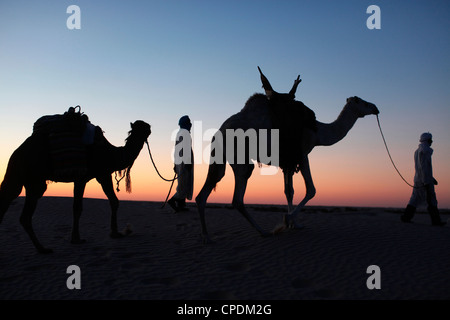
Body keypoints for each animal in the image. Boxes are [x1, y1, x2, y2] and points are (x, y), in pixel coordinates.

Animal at [0, 112, 151, 252]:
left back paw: (40, 248)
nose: (149, 127)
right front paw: (77, 239)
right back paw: (42, 249)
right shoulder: (87, 176)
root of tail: (17, 152)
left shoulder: (101, 175)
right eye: (143, 127)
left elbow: (113, 201)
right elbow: (79, 207)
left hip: (21, 176)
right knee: (24, 213)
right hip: (33, 177)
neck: (111, 154)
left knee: (11, 199)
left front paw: (114, 232)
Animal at [197, 68, 380, 242]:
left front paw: (295, 224)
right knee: (237, 197)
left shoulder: (288, 161)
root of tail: (219, 132)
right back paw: (264, 231)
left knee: (208, 188)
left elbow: (289, 190)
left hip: (220, 157)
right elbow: (311, 189)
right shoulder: (302, 153)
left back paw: (207, 237)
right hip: (240, 157)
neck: (318, 131)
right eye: (363, 102)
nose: (375, 108)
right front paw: (287, 219)